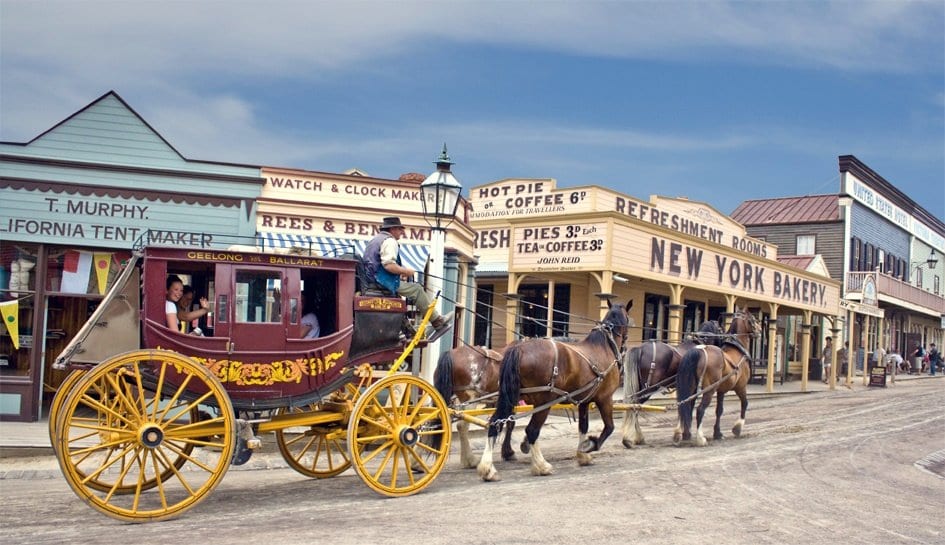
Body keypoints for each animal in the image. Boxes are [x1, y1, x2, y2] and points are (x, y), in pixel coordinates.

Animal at [476, 298, 632, 480]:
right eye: (628, 319)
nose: (625, 347)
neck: (604, 346)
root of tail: (519, 348)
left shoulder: (584, 401)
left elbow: (583, 427)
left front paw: (583, 455)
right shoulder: (605, 398)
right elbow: (609, 428)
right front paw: (589, 446)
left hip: (511, 397)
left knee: (496, 422)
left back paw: (488, 469)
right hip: (544, 402)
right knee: (532, 430)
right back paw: (541, 466)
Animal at [620, 318, 724, 446]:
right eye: (720, 329)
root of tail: (641, 348)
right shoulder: (693, 388)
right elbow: (688, 405)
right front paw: (685, 433)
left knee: (633, 404)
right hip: (649, 388)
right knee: (635, 405)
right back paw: (631, 438)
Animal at [672, 308, 760, 444]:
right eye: (753, 319)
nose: (760, 330)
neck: (737, 349)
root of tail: (698, 350)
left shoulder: (721, 390)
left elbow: (719, 410)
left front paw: (717, 433)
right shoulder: (741, 386)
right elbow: (745, 403)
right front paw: (737, 428)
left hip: (691, 387)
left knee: (684, 405)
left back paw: (682, 434)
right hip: (709, 389)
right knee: (700, 409)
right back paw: (700, 438)